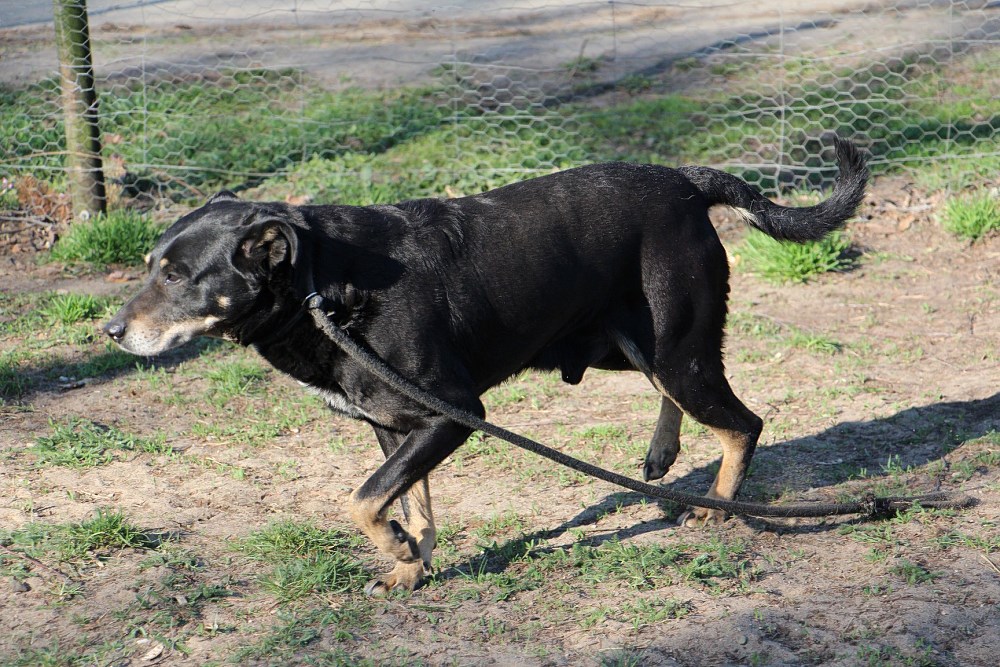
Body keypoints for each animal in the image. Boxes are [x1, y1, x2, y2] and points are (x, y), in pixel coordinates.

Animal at [105, 137, 868, 594]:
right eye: (148, 266)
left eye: (178, 276)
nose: (110, 331)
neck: (323, 281)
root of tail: (683, 179)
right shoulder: (397, 426)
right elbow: (406, 502)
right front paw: (411, 567)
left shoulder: (455, 414)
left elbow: (362, 498)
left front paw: (401, 554)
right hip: (629, 349)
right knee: (690, 405)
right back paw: (663, 451)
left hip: (676, 350)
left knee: (743, 423)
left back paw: (718, 503)